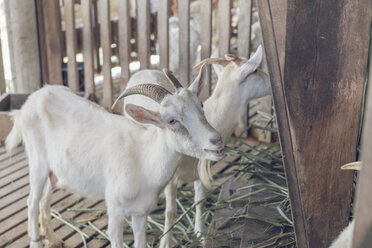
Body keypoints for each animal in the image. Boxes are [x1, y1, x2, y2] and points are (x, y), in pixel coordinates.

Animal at [5, 74, 224, 248]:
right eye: (171, 121)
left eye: (201, 105)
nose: (216, 140)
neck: (143, 158)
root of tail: (29, 102)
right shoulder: (116, 211)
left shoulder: (141, 212)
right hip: (37, 161)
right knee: (32, 202)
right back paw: (36, 241)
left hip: (54, 168)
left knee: (45, 198)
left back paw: (52, 239)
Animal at [123, 46, 272, 246]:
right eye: (255, 70)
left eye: (200, 104)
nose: (271, 83)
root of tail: (143, 70)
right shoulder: (171, 178)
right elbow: (170, 212)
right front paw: (166, 242)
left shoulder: (200, 172)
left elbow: (200, 202)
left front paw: (200, 234)